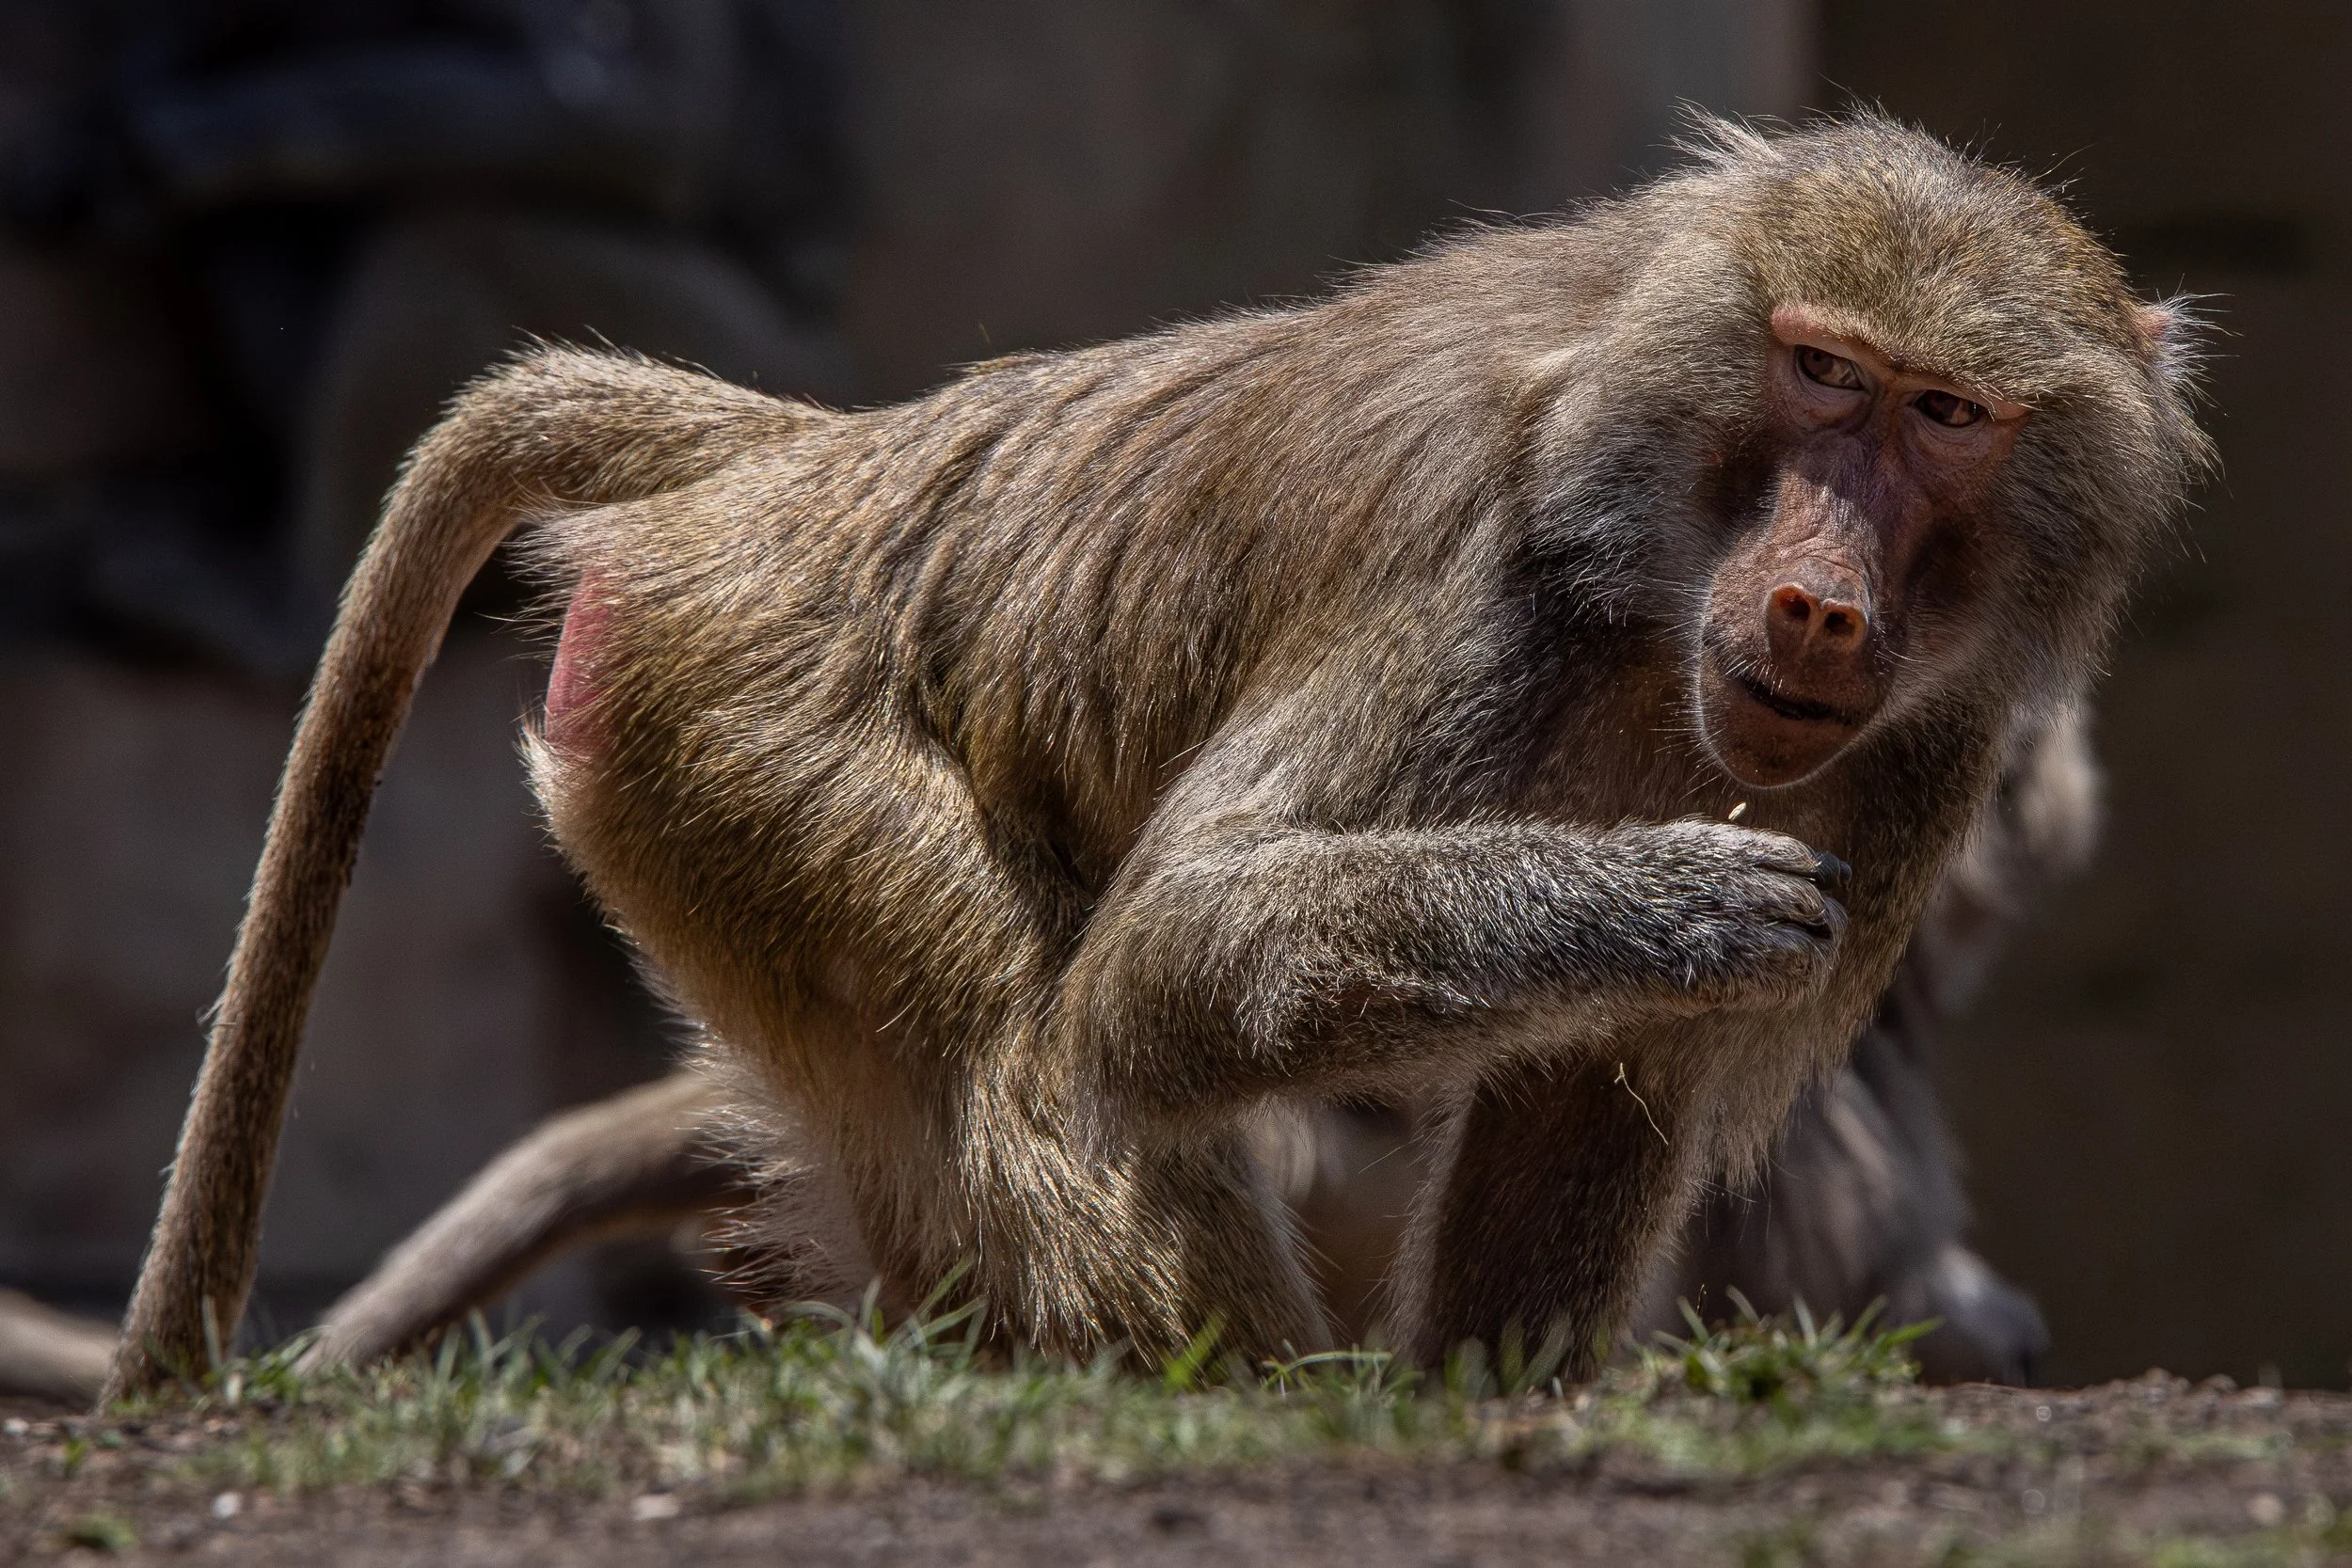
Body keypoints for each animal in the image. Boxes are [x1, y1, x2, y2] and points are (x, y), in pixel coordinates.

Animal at [103, 115, 2208, 1401]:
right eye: (1819, 373)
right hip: (740, 714)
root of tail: (822, 459)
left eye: (1945, 417)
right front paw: (1663, 896)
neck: (1649, 579)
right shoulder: (1484, 591)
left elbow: (1583, 1101)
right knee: (1041, 1060)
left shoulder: (1914, 753)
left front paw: (1480, 1403)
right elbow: (1180, 955)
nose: (1820, 606)